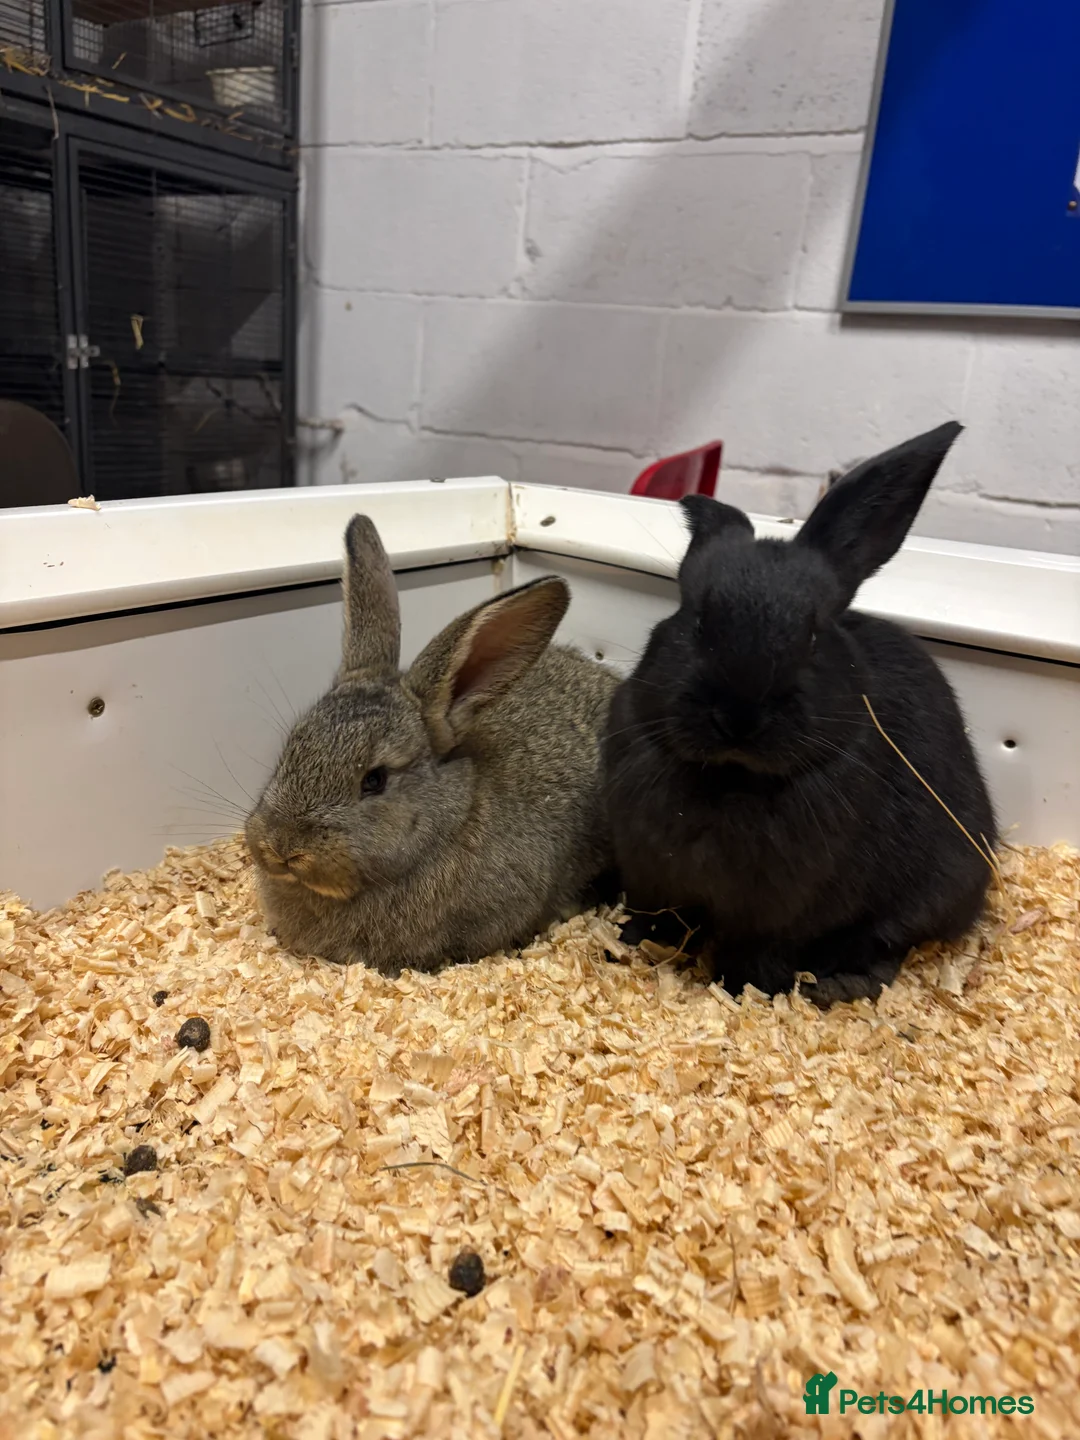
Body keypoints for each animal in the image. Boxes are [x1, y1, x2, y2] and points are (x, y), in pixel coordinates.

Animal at [602, 421, 997, 1007]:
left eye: (813, 635)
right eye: (695, 621)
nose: (739, 717)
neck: (731, 778)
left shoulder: (781, 914)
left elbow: (757, 953)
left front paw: (744, 990)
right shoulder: (652, 880)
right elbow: (656, 923)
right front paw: (625, 947)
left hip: (934, 889)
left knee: (887, 945)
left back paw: (839, 985)